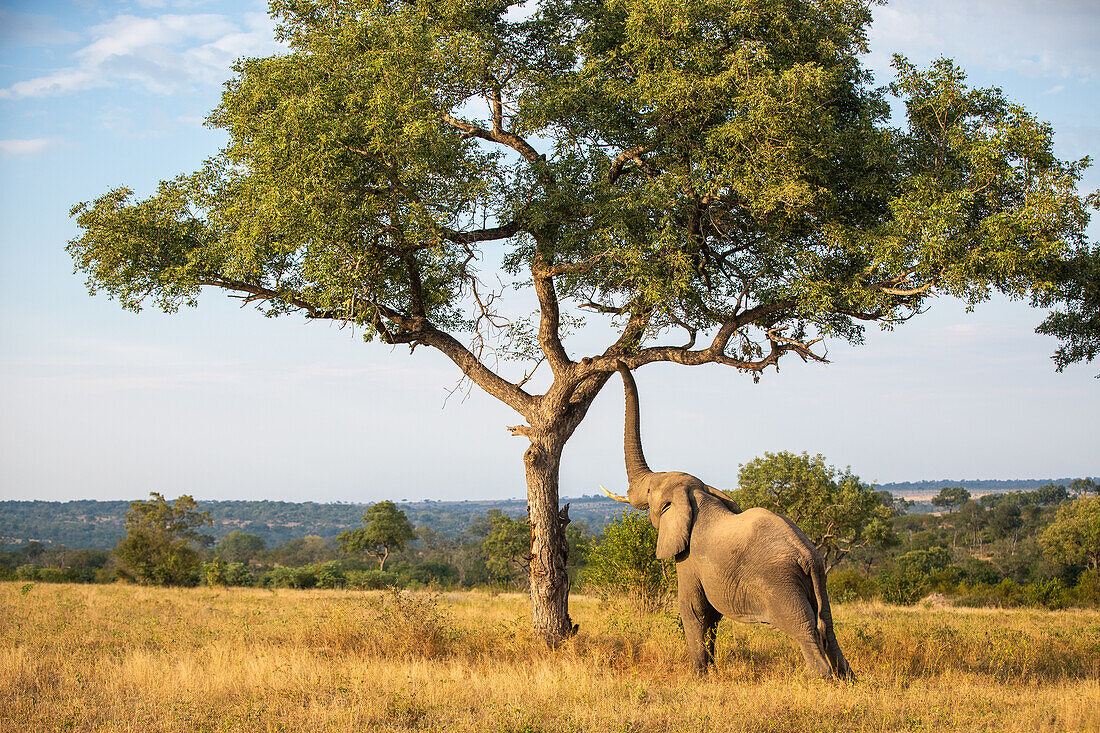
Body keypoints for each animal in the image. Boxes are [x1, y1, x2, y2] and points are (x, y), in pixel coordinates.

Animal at [602, 363, 849, 677]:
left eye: (649, 491)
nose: (616, 362)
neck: (699, 495)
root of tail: (807, 557)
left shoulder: (689, 559)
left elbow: (694, 610)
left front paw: (698, 676)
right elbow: (711, 617)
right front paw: (710, 673)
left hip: (782, 585)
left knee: (804, 628)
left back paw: (821, 679)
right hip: (817, 578)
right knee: (828, 625)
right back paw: (847, 679)